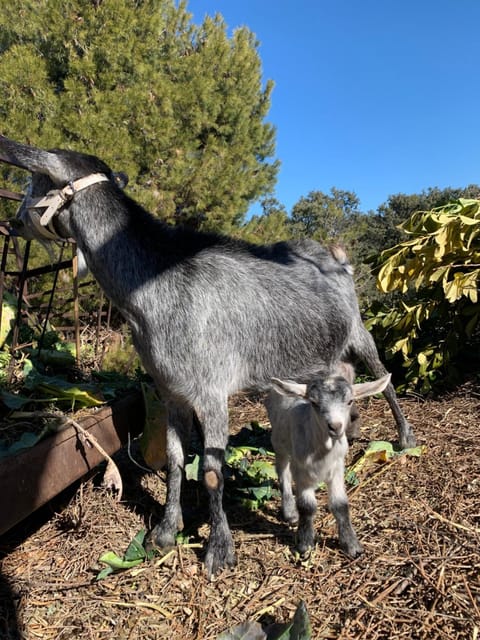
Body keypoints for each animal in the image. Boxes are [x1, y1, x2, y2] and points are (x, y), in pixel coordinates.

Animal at [266, 372, 390, 556]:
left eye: (350, 401)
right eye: (314, 403)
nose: (335, 427)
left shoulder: (337, 469)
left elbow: (340, 505)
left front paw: (351, 545)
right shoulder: (302, 472)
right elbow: (307, 507)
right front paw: (305, 543)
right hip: (279, 444)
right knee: (283, 474)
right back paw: (290, 512)